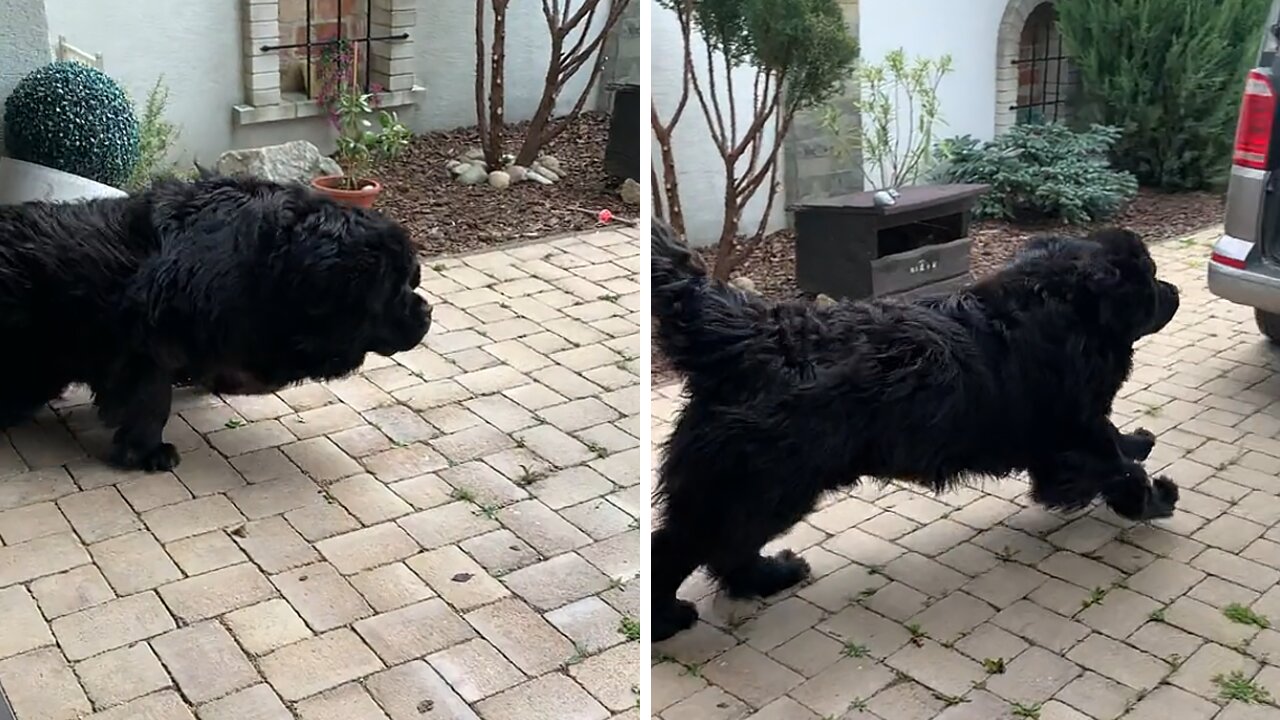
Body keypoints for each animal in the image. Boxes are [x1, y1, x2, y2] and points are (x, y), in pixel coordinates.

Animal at [0, 174, 432, 471]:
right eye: (396, 287)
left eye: (411, 280)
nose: (427, 312)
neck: (271, 267)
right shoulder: (144, 345)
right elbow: (150, 401)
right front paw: (149, 453)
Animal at [655, 220, 1182, 638]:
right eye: (1151, 276)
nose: (1175, 291)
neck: (1064, 310)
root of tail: (749, 334)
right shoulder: (1070, 430)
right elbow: (1117, 467)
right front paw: (1155, 498)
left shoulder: (1074, 427)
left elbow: (1114, 444)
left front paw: (1138, 442)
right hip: (765, 485)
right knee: (684, 546)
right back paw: (671, 618)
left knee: (726, 547)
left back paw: (768, 577)